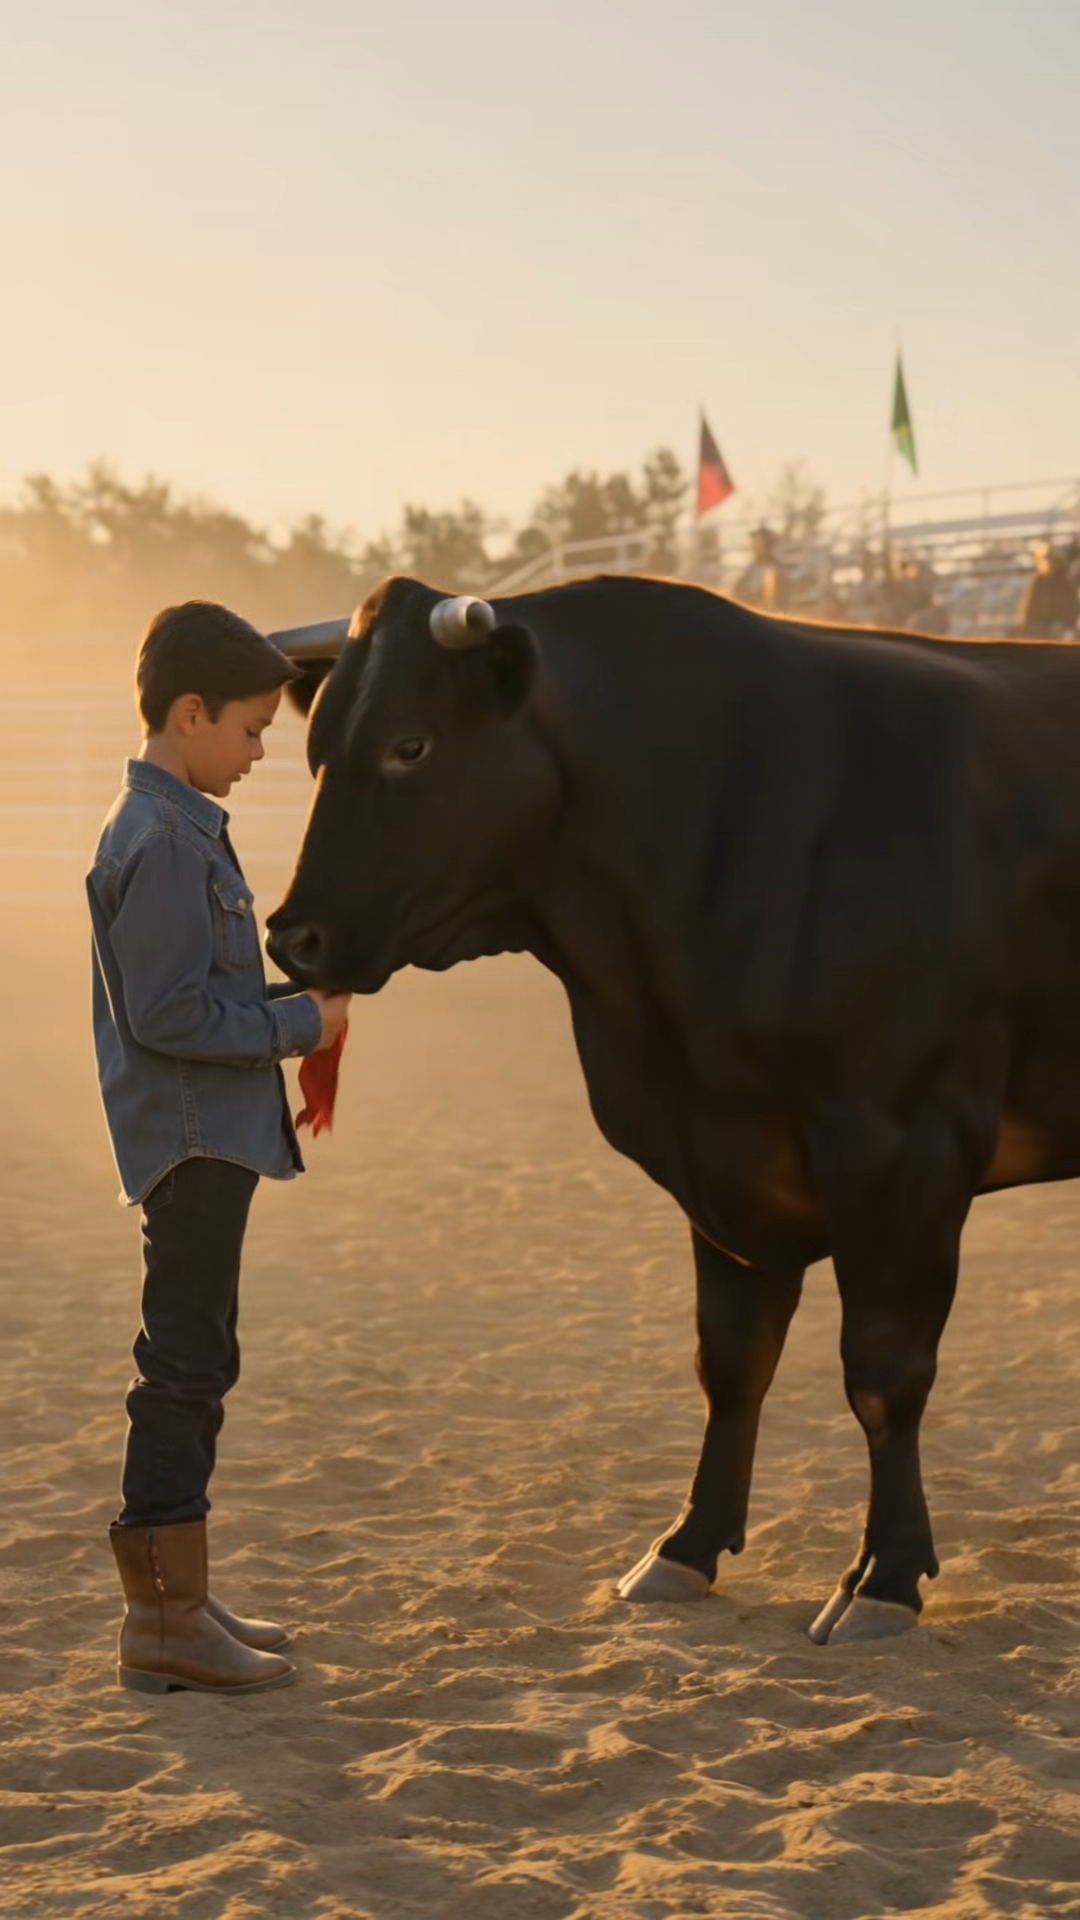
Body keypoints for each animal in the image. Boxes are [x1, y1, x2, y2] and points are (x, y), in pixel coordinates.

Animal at [264, 573, 1080, 1645]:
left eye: (412, 745)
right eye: (316, 751)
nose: (294, 939)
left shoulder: (905, 1144)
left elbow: (884, 1373)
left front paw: (886, 1578)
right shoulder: (723, 1155)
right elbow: (731, 1360)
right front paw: (686, 1547)